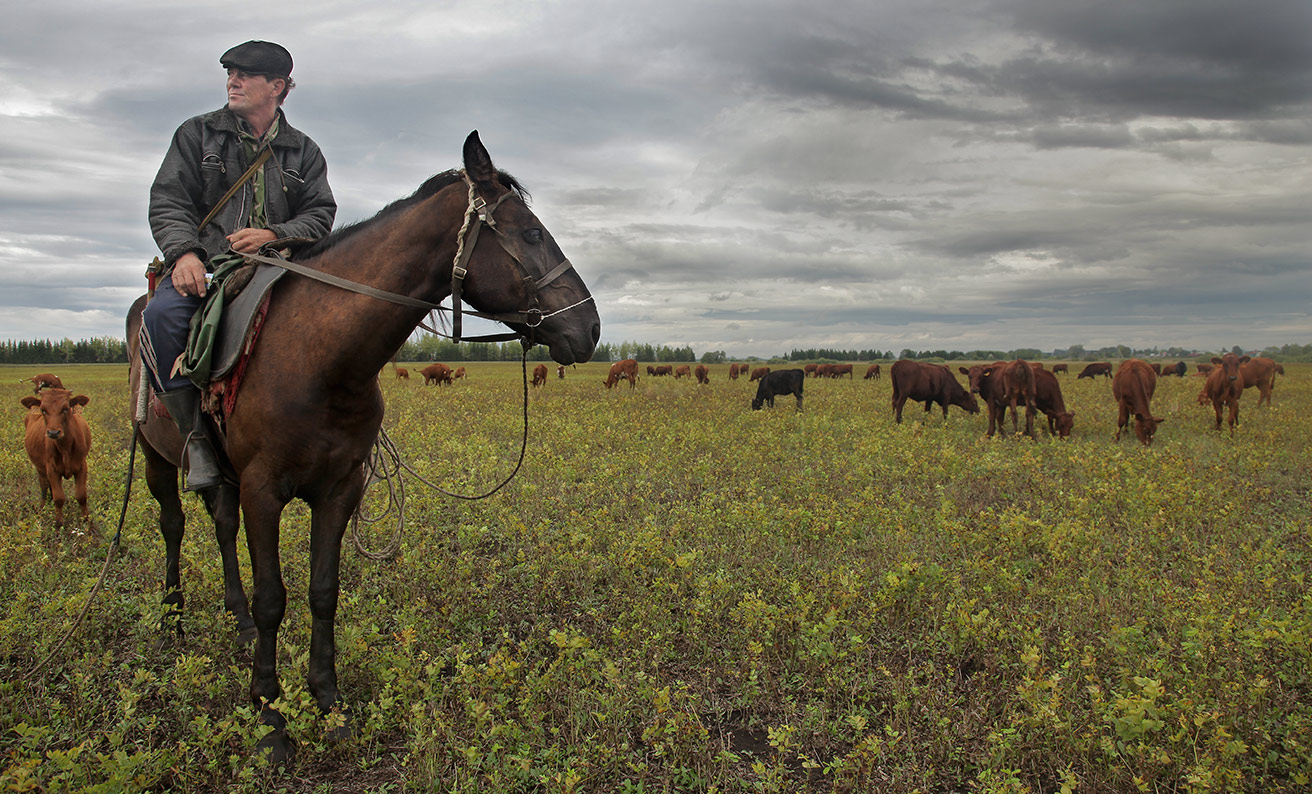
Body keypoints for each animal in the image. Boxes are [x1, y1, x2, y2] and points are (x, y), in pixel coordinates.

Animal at [21, 388, 92, 527]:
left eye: (66, 408)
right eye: (43, 409)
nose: (53, 433)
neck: (65, 448)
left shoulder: (82, 466)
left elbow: (81, 495)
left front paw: (86, 520)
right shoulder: (52, 469)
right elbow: (59, 497)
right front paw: (59, 524)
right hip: (40, 467)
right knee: (44, 485)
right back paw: (42, 507)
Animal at [125, 133, 598, 761]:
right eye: (530, 235)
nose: (589, 329)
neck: (319, 356)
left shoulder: (339, 489)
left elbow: (323, 591)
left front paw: (327, 701)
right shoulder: (262, 491)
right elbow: (273, 596)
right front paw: (269, 714)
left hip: (221, 478)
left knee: (220, 526)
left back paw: (236, 621)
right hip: (158, 459)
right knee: (173, 526)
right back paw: (172, 618)